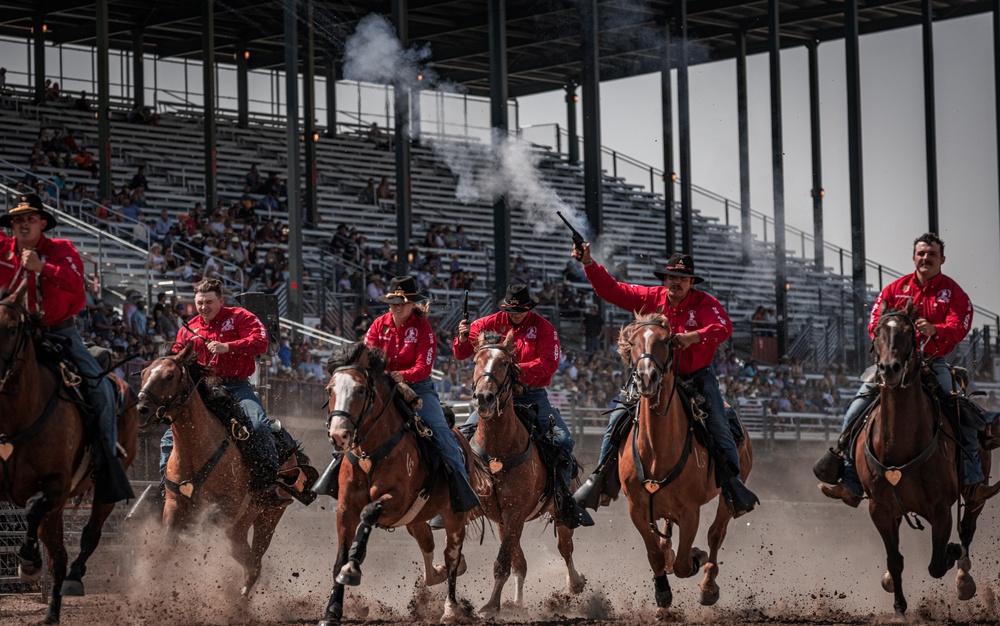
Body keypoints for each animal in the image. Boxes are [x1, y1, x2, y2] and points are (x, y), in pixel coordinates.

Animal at [0, 280, 139, 620]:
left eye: (12, 328)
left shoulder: (56, 485)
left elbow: (32, 507)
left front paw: (29, 563)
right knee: (60, 555)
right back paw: (51, 613)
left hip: (104, 489)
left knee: (88, 536)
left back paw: (71, 579)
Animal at [322, 344, 474, 620]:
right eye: (330, 389)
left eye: (360, 390)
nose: (339, 435)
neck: (370, 454)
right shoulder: (345, 508)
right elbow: (339, 558)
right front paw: (332, 611)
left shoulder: (397, 500)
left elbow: (369, 514)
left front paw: (352, 568)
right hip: (416, 520)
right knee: (429, 547)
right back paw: (436, 575)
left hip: (455, 517)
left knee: (452, 556)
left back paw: (450, 609)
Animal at [468, 330, 584, 612]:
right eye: (475, 361)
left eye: (504, 363)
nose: (484, 398)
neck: (499, 451)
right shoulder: (499, 514)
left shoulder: (515, 512)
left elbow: (502, 562)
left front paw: (491, 606)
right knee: (520, 562)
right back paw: (518, 602)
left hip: (557, 511)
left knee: (564, 548)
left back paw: (574, 582)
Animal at [616, 310, 752, 612]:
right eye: (633, 342)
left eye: (667, 341)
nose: (647, 377)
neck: (657, 450)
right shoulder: (636, 509)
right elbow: (655, 554)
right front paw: (662, 595)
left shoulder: (691, 511)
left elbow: (682, 563)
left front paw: (695, 558)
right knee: (668, 535)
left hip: (728, 492)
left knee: (716, 534)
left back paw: (708, 585)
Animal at [852, 302, 992, 616]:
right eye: (877, 331)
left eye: (909, 333)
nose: (889, 369)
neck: (900, 444)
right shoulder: (880, 509)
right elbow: (895, 559)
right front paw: (898, 605)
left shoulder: (940, 510)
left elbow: (937, 563)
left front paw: (952, 553)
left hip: (976, 495)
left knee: (968, 530)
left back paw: (964, 578)